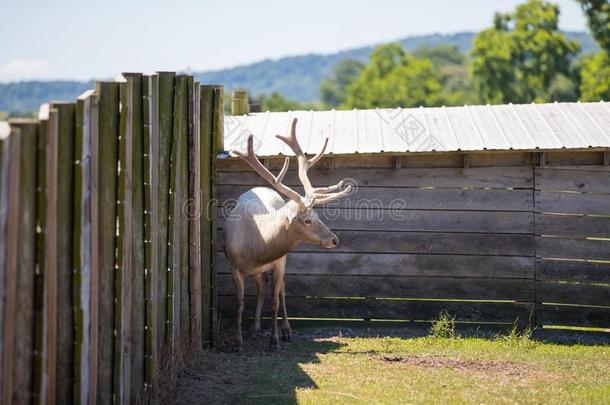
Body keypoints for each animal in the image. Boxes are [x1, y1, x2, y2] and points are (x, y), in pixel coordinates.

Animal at [223, 117, 350, 350]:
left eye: (318, 215)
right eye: (307, 220)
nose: (334, 239)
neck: (256, 250)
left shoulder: (279, 261)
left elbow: (275, 300)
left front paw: (274, 340)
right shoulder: (233, 265)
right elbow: (239, 303)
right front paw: (237, 341)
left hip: (282, 262)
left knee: (280, 290)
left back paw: (285, 330)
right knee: (262, 288)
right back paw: (254, 329)